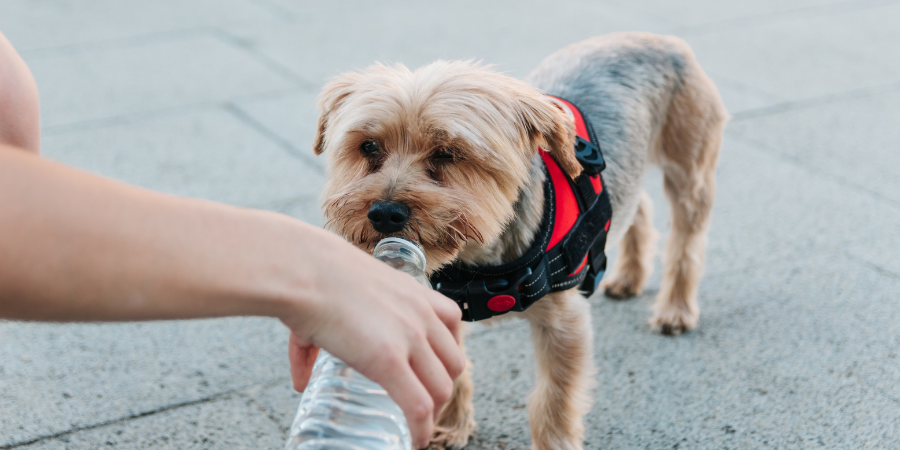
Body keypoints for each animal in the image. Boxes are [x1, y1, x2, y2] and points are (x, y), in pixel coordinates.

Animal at [312, 32, 728, 450]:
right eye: (369, 147)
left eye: (448, 153)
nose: (384, 213)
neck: (476, 257)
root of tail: (659, 38)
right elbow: (448, 368)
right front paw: (449, 425)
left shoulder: (564, 322)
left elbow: (553, 400)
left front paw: (553, 441)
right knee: (636, 205)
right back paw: (629, 277)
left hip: (689, 168)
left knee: (687, 240)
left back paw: (675, 309)